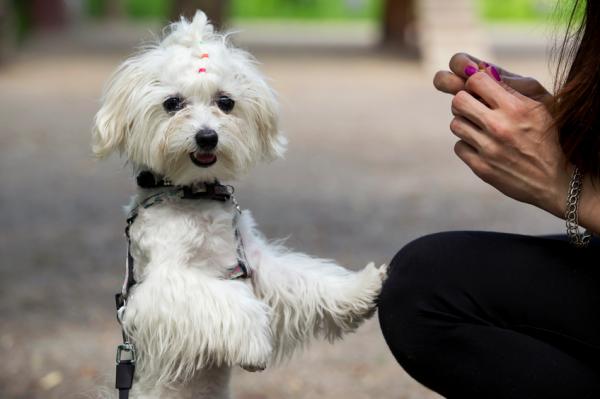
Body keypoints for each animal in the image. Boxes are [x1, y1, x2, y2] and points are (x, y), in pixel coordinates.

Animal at [92, 11, 386, 399]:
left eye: (225, 102)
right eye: (172, 103)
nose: (207, 136)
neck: (195, 195)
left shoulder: (254, 263)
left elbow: (305, 281)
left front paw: (361, 289)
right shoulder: (160, 286)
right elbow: (232, 301)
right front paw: (255, 347)